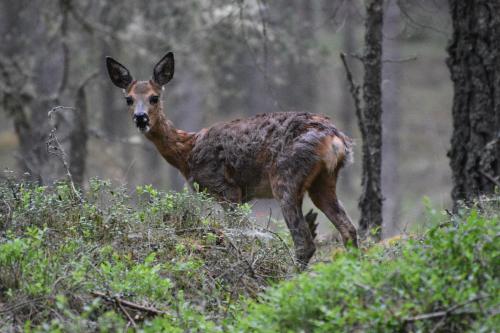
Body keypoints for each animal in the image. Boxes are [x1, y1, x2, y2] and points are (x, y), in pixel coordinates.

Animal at [106, 50, 356, 266]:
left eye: (154, 97)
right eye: (128, 99)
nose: (141, 118)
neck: (187, 152)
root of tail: (335, 139)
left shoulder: (227, 188)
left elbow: (237, 233)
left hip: (286, 176)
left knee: (305, 241)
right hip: (323, 181)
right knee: (349, 230)